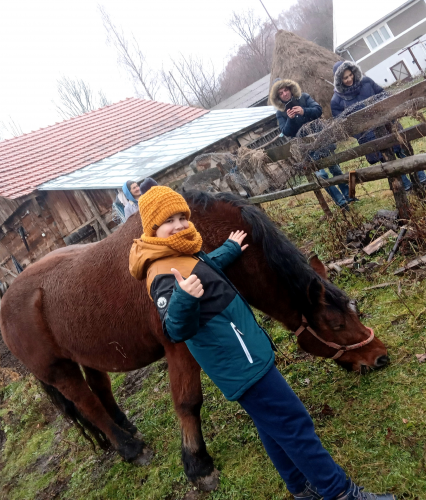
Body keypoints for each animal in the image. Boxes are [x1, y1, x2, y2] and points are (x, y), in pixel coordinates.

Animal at [0, 190, 388, 488]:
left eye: (354, 311)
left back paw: (127, 429)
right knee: (88, 404)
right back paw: (130, 448)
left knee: (100, 390)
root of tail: (6, 300)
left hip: (87, 353)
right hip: (59, 370)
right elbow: (188, 403)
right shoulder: (180, 347)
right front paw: (197, 465)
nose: (380, 357)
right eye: (335, 324)